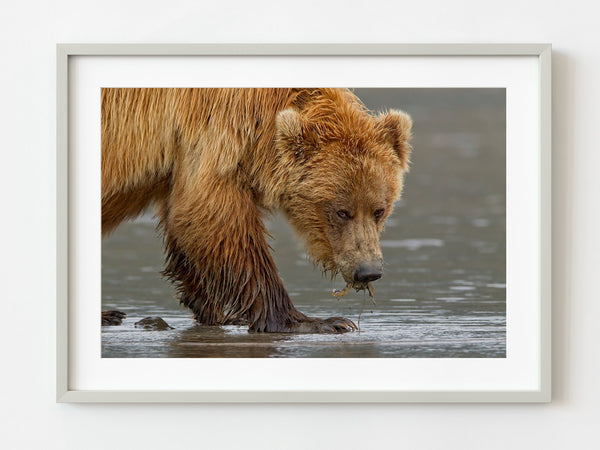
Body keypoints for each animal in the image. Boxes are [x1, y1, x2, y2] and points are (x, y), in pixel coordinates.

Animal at [102, 89, 412, 334]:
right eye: (342, 212)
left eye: (379, 210)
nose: (368, 271)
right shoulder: (214, 134)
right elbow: (215, 220)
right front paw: (317, 321)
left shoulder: (181, 161)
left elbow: (184, 224)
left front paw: (218, 313)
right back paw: (110, 314)